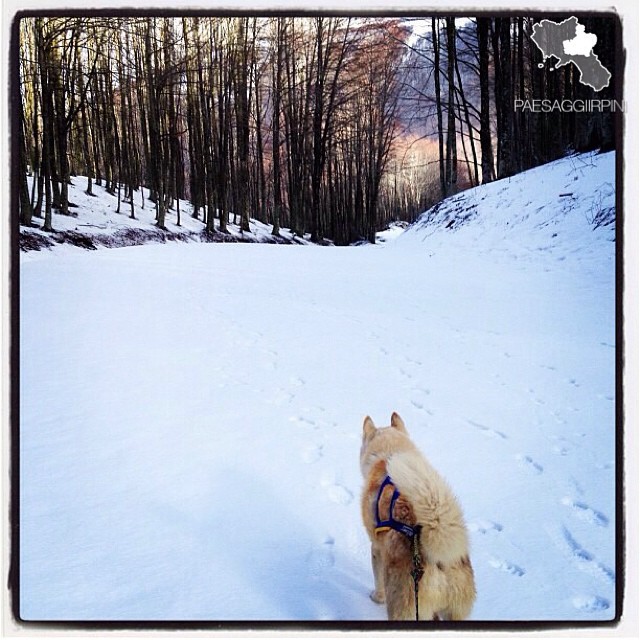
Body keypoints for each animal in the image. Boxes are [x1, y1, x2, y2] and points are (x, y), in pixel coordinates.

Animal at [360, 416, 476, 620]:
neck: (389, 454)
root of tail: (440, 562)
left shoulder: (376, 549)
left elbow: (377, 580)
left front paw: (376, 597)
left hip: (404, 610)